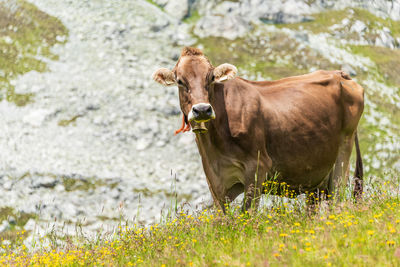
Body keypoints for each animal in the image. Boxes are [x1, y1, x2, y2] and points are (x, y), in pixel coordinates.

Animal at [152, 47, 364, 213]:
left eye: (211, 78)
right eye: (180, 81)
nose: (202, 109)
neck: (214, 143)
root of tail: (340, 74)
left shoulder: (258, 166)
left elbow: (247, 214)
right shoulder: (214, 177)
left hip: (343, 153)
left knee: (337, 199)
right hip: (316, 172)